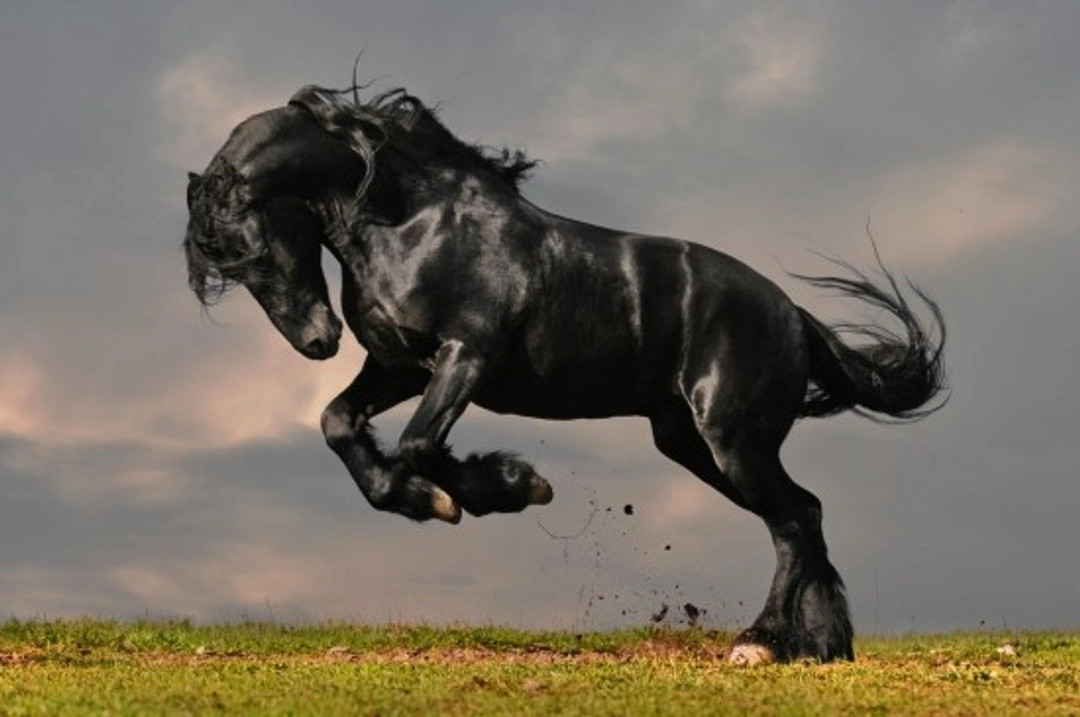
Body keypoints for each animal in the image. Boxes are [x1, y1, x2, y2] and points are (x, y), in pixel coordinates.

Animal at [183, 83, 946, 664]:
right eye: (227, 266)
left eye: (254, 249)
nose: (317, 341)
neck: (413, 221)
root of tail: (793, 315)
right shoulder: (399, 364)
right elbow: (339, 423)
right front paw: (425, 498)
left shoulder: (466, 356)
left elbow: (420, 444)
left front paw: (505, 487)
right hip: (692, 443)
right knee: (803, 515)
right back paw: (818, 645)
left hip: (734, 441)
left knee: (794, 518)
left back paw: (761, 642)